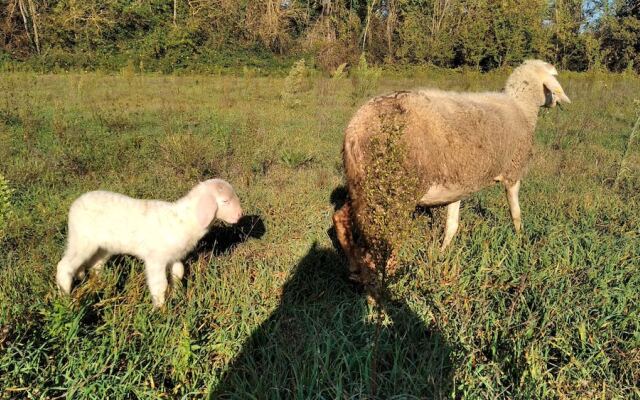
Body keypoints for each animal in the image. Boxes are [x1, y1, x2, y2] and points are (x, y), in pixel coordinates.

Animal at [55, 178, 242, 306]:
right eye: (225, 201)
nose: (240, 215)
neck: (185, 219)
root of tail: (75, 204)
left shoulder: (175, 257)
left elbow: (178, 274)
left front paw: (177, 296)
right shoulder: (155, 259)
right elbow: (160, 285)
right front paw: (161, 309)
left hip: (103, 246)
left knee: (95, 264)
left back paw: (99, 285)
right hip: (81, 239)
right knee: (65, 266)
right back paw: (65, 298)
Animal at [332, 58, 572, 282]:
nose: (556, 103)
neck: (521, 108)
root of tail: (356, 128)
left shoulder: (458, 184)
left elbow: (452, 225)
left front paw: (442, 252)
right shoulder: (513, 172)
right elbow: (516, 214)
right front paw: (519, 239)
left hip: (363, 184)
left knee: (341, 217)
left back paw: (354, 267)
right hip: (395, 187)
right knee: (384, 234)